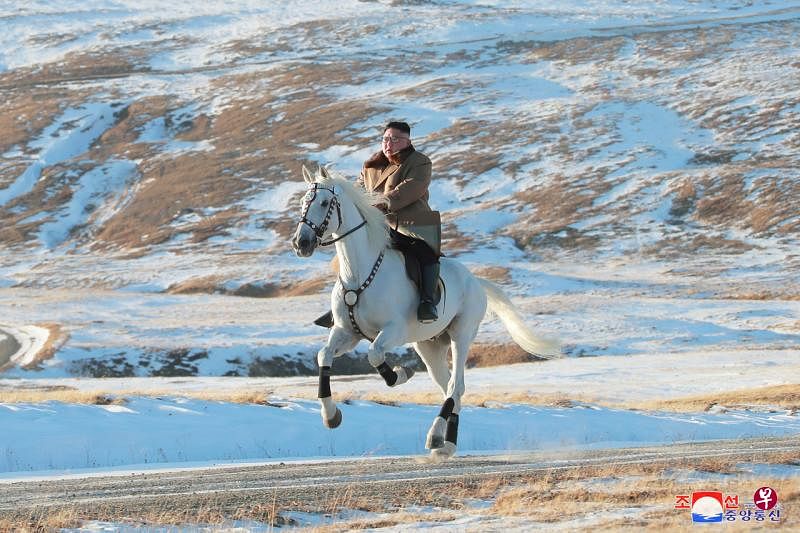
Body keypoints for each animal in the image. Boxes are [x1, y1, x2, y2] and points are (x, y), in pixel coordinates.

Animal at [291, 166, 561, 459]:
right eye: (303, 202)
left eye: (324, 203)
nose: (301, 243)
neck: (359, 273)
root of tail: (476, 281)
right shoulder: (346, 332)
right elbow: (324, 355)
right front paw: (331, 416)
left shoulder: (394, 331)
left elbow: (375, 354)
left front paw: (400, 374)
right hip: (429, 346)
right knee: (451, 389)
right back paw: (447, 444)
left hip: (461, 335)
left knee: (455, 386)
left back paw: (435, 437)